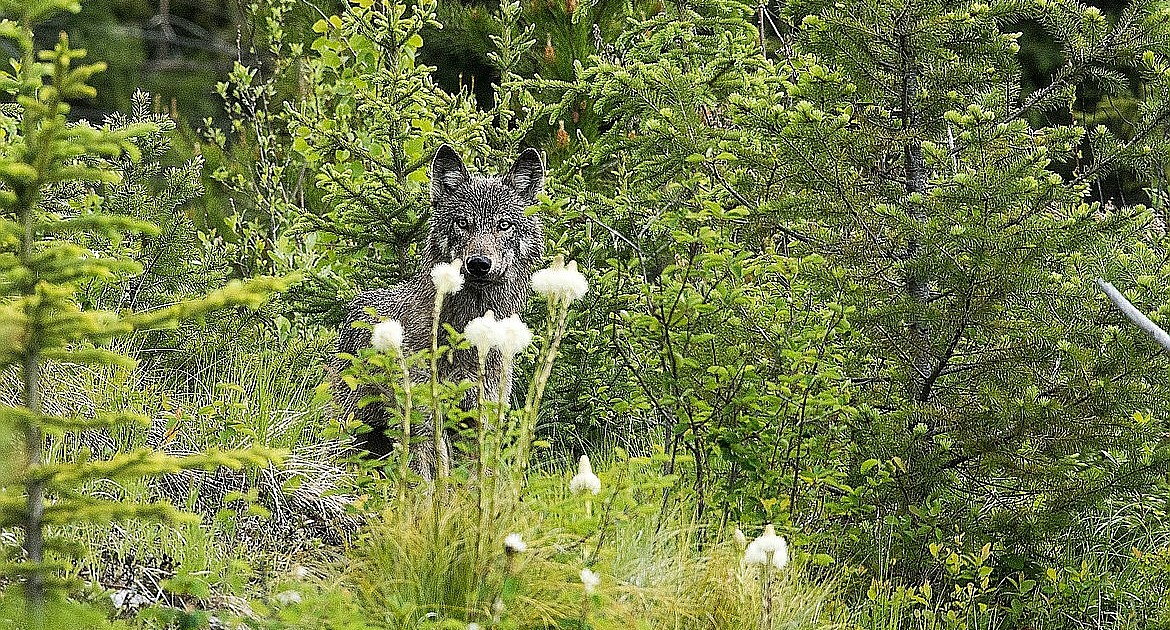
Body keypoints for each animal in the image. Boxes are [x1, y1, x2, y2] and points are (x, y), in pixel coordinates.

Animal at [333, 144, 545, 478]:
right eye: (462, 223)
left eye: (504, 225)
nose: (479, 264)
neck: (469, 336)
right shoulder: (424, 414)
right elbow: (432, 473)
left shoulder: (481, 414)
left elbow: (476, 476)